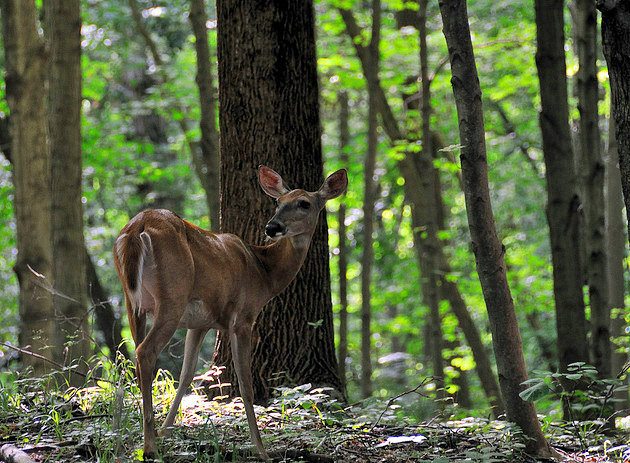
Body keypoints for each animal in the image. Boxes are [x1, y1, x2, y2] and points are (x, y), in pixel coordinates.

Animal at [113, 166, 350, 460]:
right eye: (278, 202)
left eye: (304, 203)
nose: (272, 227)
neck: (263, 273)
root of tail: (138, 226)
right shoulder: (243, 317)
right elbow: (246, 385)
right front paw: (261, 450)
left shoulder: (200, 323)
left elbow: (186, 376)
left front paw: (166, 432)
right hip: (172, 297)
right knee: (145, 351)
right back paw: (149, 447)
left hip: (131, 300)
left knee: (135, 354)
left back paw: (143, 439)